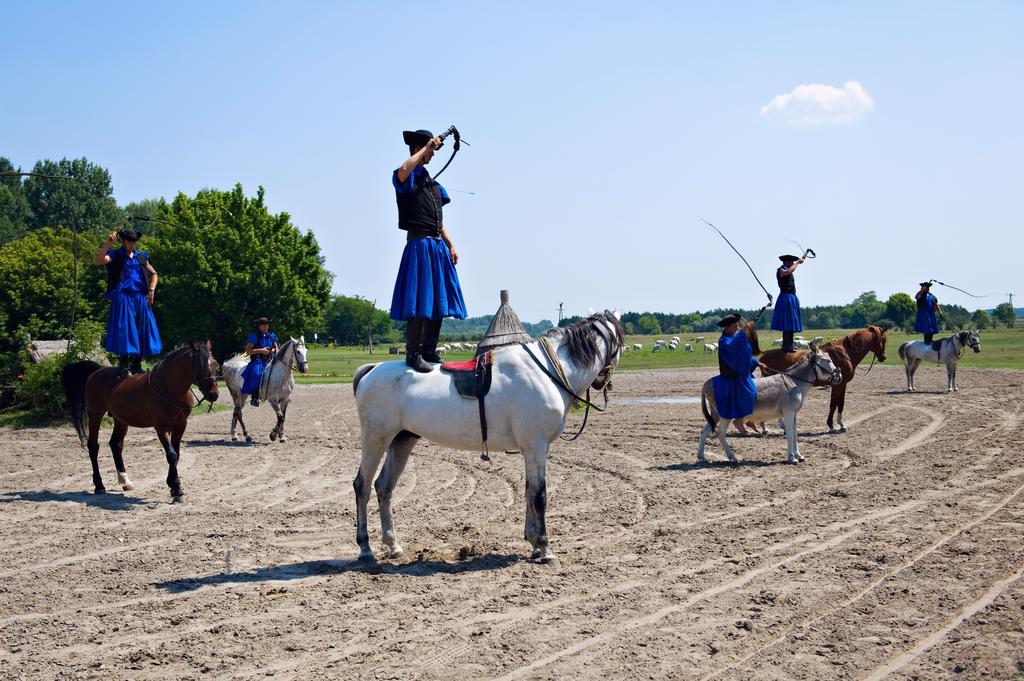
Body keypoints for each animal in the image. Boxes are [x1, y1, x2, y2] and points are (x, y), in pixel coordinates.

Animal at [61, 339, 218, 499]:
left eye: (215, 363)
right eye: (198, 365)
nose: (213, 394)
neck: (168, 387)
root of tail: (97, 371)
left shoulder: (180, 425)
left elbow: (177, 454)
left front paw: (172, 484)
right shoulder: (161, 427)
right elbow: (172, 455)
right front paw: (177, 489)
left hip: (120, 419)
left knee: (115, 444)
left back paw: (125, 480)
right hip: (95, 414)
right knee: (93, 446)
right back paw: (99, 485)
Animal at [352, 311, 622, 565]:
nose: (603, 383)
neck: (545, 372)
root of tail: (372, 369)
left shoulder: (534, 449)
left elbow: (528, 490)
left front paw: (533, 542)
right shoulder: (536, 445)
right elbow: (539, 495)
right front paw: (545, 548)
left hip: (402, 440)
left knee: (384, 487)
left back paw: (393, 545)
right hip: (376, 439)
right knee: (362, 486)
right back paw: (365, 548)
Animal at [696, 342, 839, 464]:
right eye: (828, 361)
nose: (840, 376)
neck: (794, 382)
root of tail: (707, 383)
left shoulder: (794, 413)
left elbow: (795, 433)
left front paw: (799, 455)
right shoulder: (788, 412)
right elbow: (790, 434)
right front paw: (792, 458)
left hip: (715, 414)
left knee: (704, 431)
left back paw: (701, 456)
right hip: (725, 415)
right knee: (720, 433)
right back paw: (732, 457)